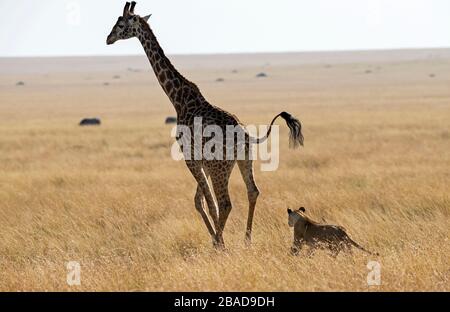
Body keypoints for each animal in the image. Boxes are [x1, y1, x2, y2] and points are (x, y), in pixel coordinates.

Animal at [107, 1, 304, 247]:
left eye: (120, 24)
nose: (108, 38)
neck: (179, 99)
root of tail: (245, 135)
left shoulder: (190, 157)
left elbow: (207, 203)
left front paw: (218, 243)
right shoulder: (203, 161)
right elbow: (199, 201)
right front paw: (215, 239)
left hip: (221, 166)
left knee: (225, 202)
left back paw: (223, 242)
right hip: (243, 160)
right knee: (252, 192)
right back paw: (246, 239)